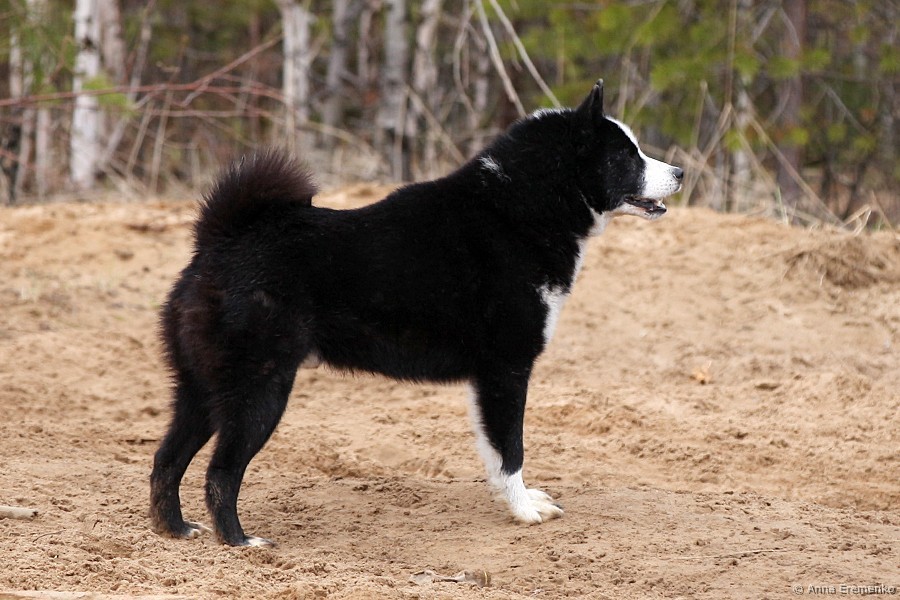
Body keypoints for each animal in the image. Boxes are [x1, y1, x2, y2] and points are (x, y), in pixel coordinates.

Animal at [149, 80, 683, 546]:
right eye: (625, 156)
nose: (679, 172)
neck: (518, 210)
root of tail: (221, 240)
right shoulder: (506, 370)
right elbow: (511, 449)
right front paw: (523, 511)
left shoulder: (489, 380)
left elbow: (494, 454)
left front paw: (519, 502)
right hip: (260, 392)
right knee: (221, 473)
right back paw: (240, 542)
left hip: (200, 392)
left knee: (166, 460)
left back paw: (176, 530)